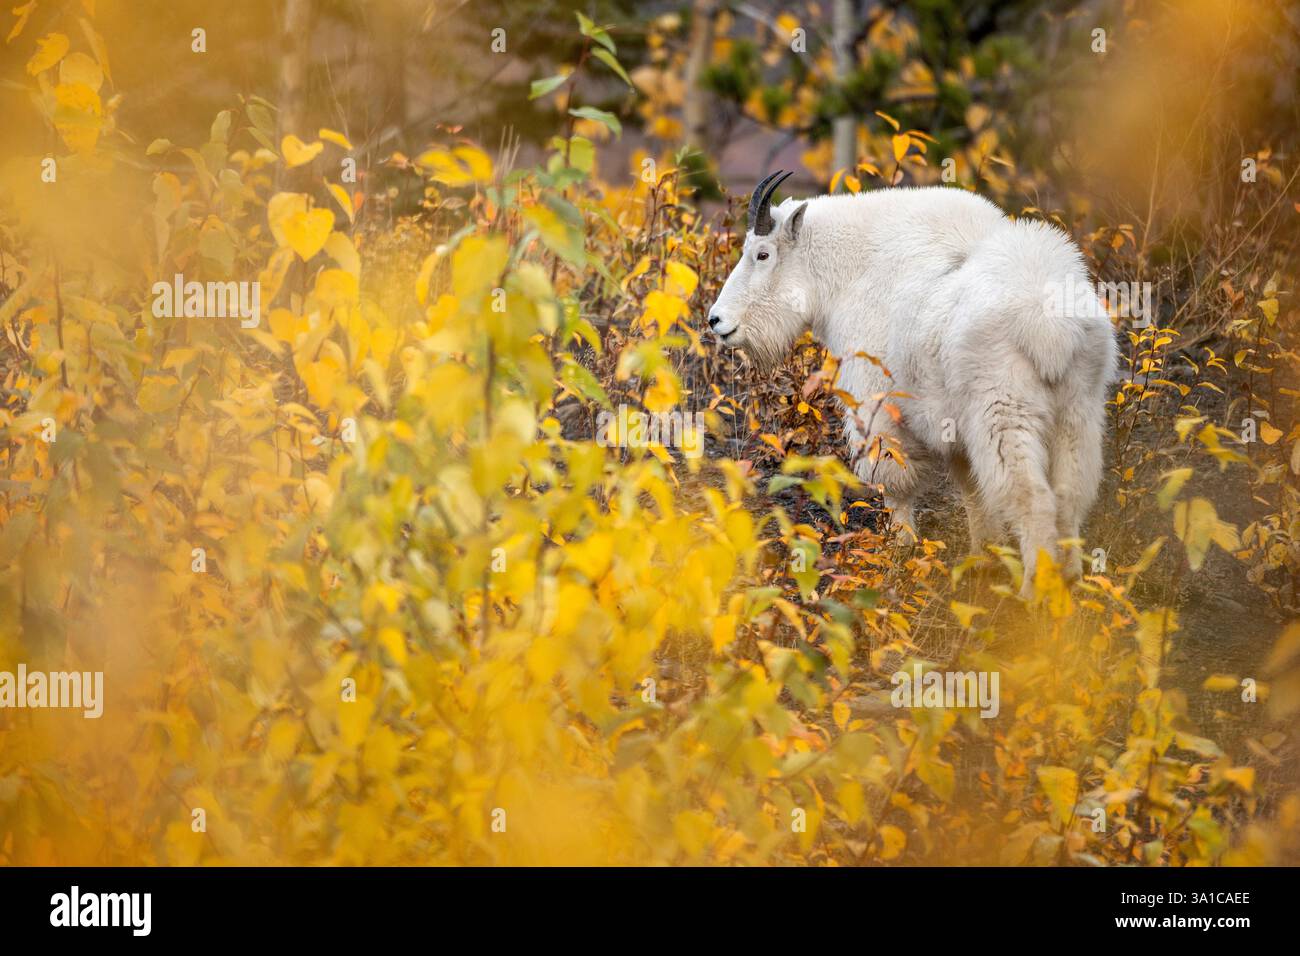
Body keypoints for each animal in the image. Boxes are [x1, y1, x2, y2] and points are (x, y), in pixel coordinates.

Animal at [708, 171, 1120, 597]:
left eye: (762, 254)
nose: (716, 321)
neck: (851, 273)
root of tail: (1052, 325)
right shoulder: (953, 427)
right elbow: (972, 489)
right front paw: (982, 557)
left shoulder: (877, 404)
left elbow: (895, 482)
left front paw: (899, 548)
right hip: (1079, 409)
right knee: (1071, 492)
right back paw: (1070, 579)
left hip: (1002, 410)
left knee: (1032, 496)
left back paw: (1032, 593)